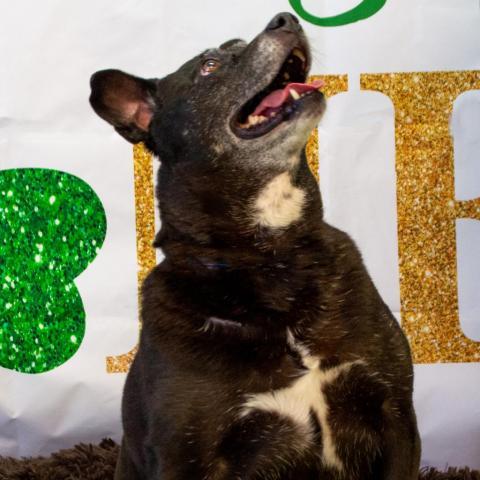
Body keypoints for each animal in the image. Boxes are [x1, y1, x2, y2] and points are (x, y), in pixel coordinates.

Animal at [90, 12, 420, 480]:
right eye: (208, 67)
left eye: (239, 44)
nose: (285, 18)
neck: (270, 256)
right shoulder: (186, 455)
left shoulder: (395, 418)